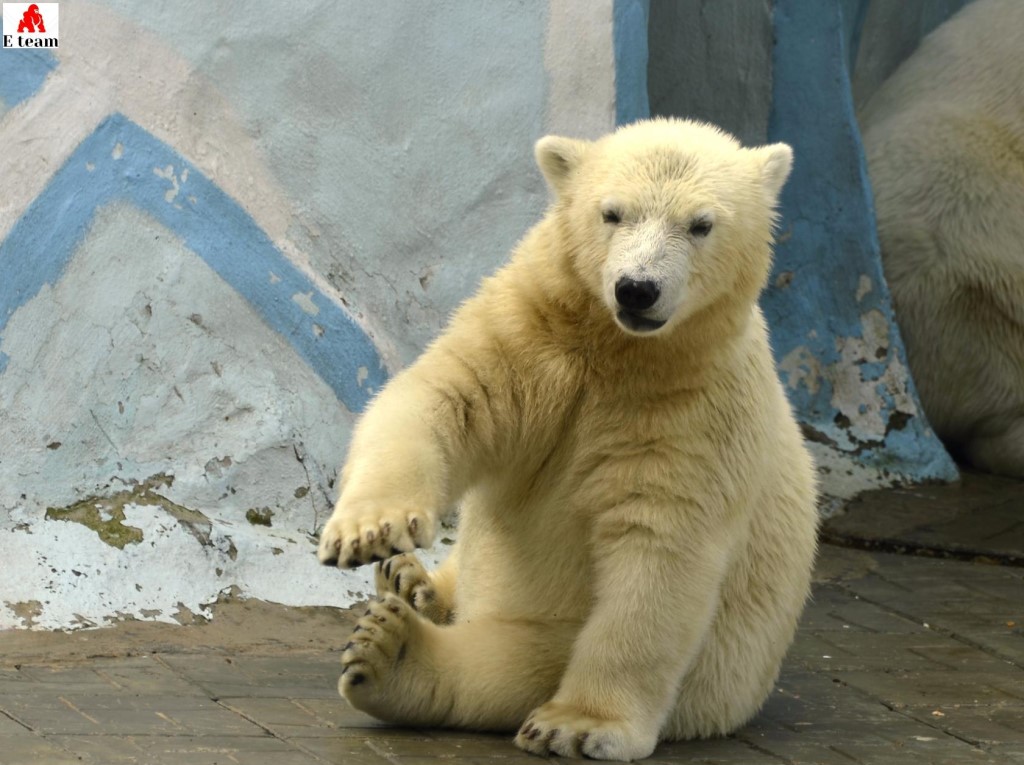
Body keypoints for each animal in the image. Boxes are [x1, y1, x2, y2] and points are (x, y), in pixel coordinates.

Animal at [317, 116, 815, 761]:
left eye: (701, 224)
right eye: (612, 213)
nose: (636, 289)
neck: (620, 354)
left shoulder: (697, 414)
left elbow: (658, 551)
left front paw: (578, 725)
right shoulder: (532, 330)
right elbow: (443, 399)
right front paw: (372, 532)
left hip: (698, 676)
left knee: (516, 662)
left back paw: (393, 654)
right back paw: (414, 583)